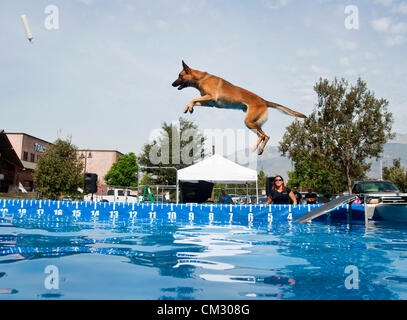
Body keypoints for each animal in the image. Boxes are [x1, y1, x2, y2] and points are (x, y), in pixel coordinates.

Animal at [171, 61, 306, 155]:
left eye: (180, 75)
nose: (172, 84)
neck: (201, 79)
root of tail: (264, 101)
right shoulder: (209, 102)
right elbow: (194, 101)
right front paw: (188, 108)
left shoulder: (211, 97)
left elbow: (193, 98)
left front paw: (189, 107)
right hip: (253, 124)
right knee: (264, 136)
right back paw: (259, 150)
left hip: (249, 121)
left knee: (264, 136)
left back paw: (256, 148)